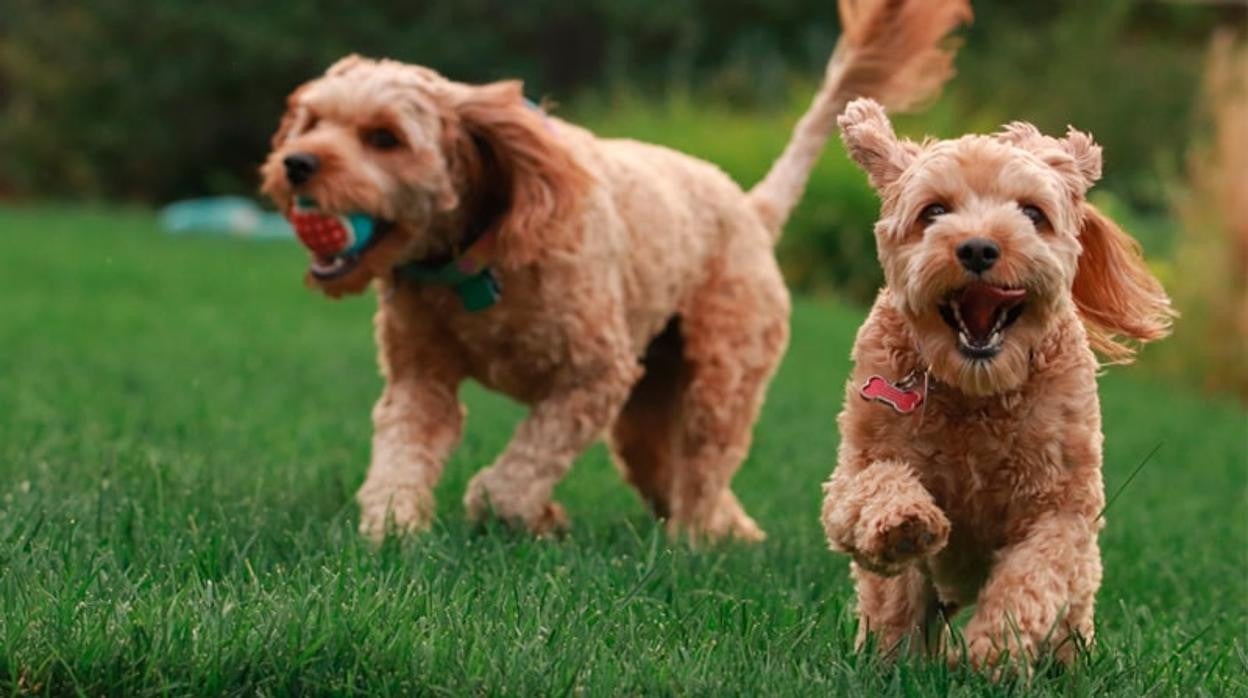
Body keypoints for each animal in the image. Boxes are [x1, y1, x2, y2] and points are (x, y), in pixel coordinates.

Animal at [258, 0, 968, 544]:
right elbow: (403, 451)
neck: (475, 260)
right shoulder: (420, 377)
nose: (295, 164)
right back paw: (729, 531)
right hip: (649, 401)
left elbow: (516, 474)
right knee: (668, 468)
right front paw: (392, 529)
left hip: (722, 373)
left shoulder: (592, 374)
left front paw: (519, 510)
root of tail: (751, 207)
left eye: (384, 138)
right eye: (312, 120)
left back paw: (698, 540)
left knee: (704, 462)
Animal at [823, 96, 1173, 664]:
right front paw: (905, 523)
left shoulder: (1063, 505)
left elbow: (1035, 572)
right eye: (933, 211)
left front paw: (996, 646)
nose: (979, 249)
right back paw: (892, 657)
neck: (975, 390)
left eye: (1032, 213)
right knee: (897, 606)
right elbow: (874, 487)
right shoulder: (856, 466)